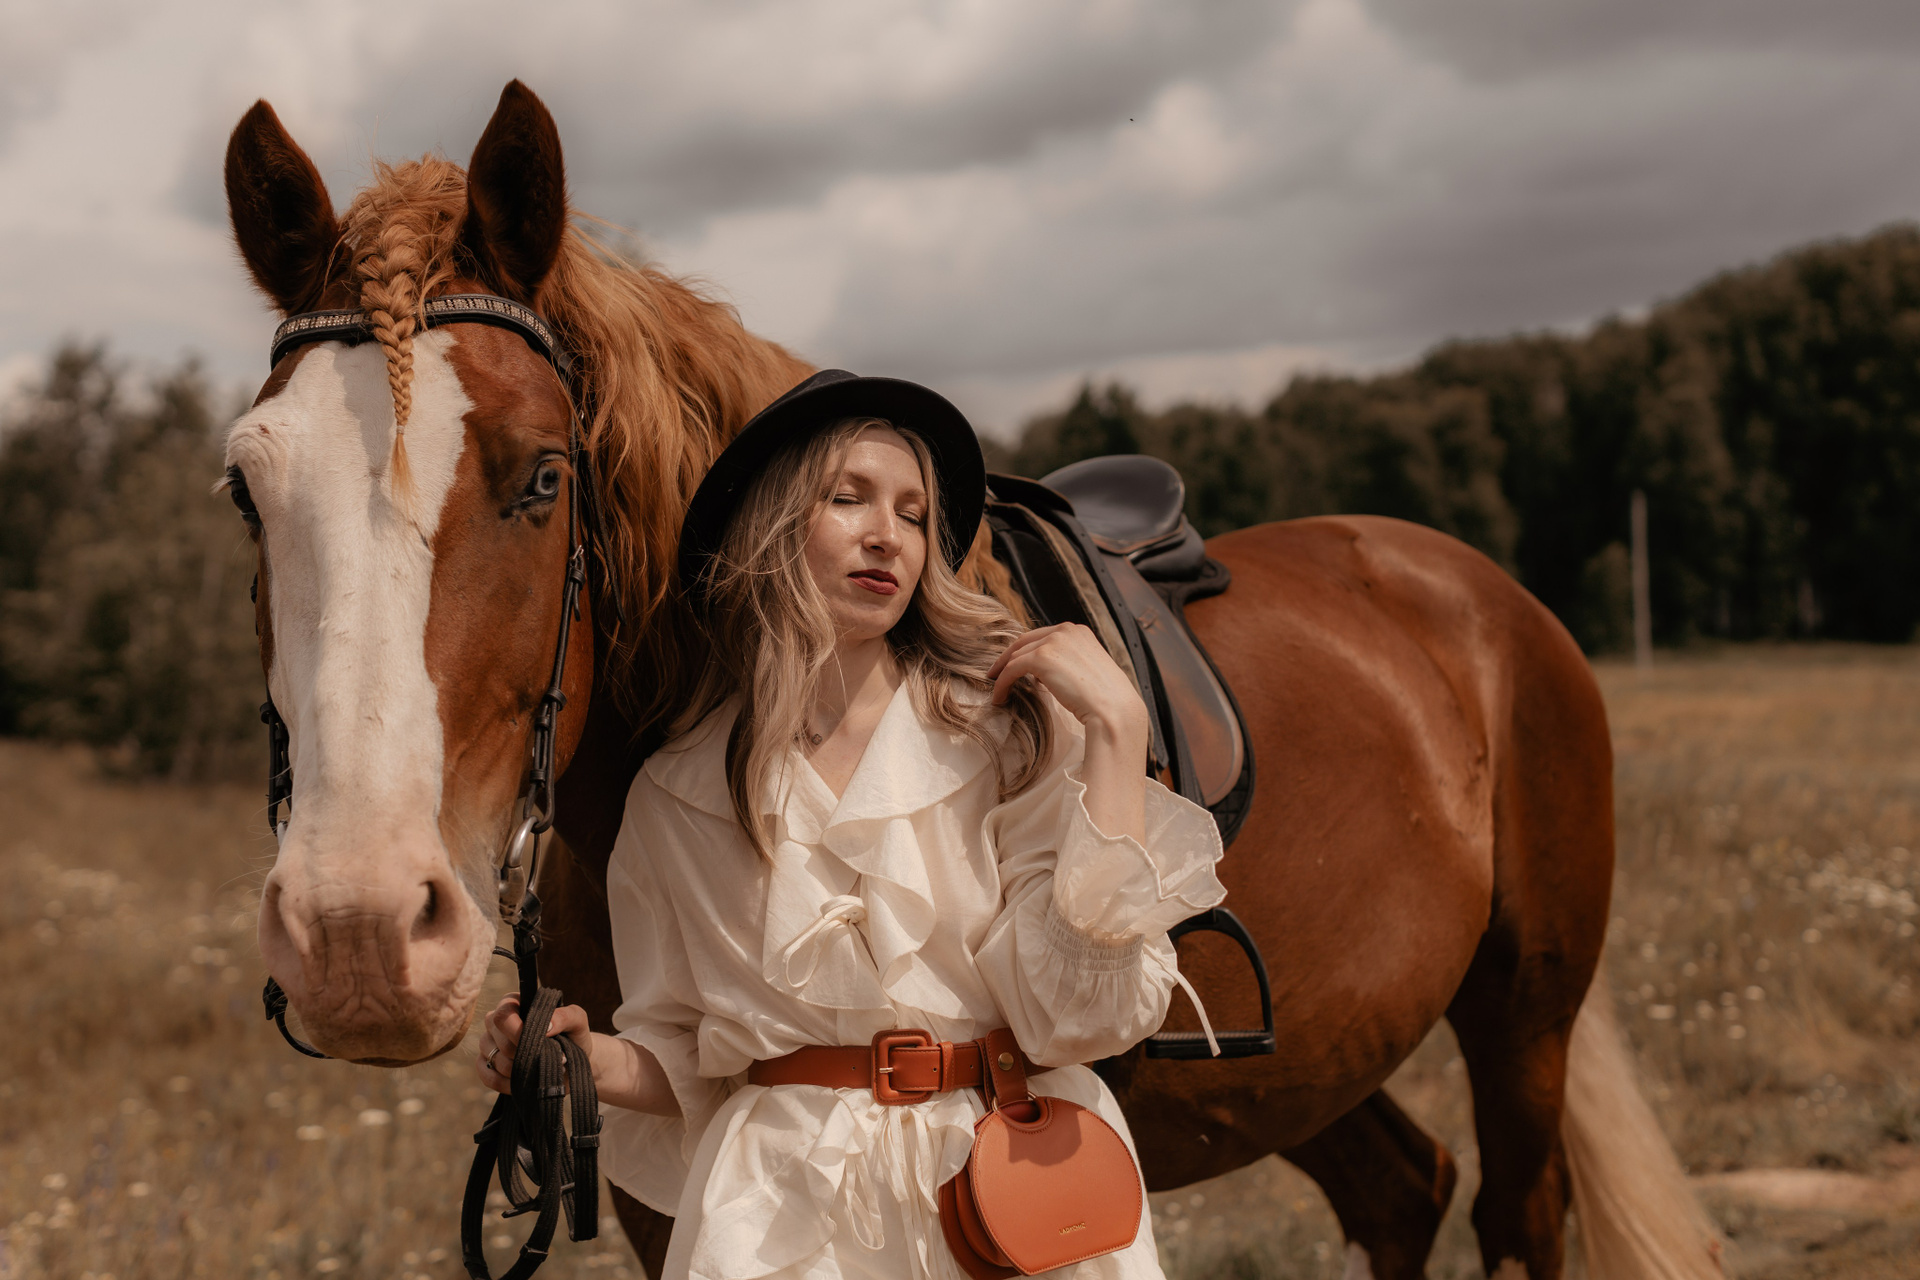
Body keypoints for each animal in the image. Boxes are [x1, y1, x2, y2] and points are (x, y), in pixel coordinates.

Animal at [221, 81, 1720, 1280]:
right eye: (245, 488)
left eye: (541, 476)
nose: (359, 936)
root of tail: (1475, 591)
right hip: (1323, 1045)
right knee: (1406, 1191)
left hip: (1523, 1015)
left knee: (1515, 1207)